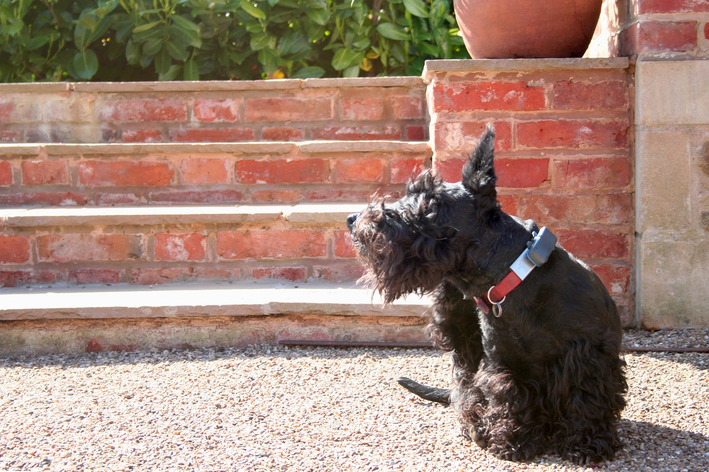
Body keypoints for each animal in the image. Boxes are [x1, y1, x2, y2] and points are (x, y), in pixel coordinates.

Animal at [346, 126, 628, 464]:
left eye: (430, 202)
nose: (353, 220)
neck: (516, 279)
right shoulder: (502, 364)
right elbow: (508, 397)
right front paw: (512, 440)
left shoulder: (589, 356)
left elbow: (586, 398)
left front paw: (587, 443)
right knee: (465, 392)